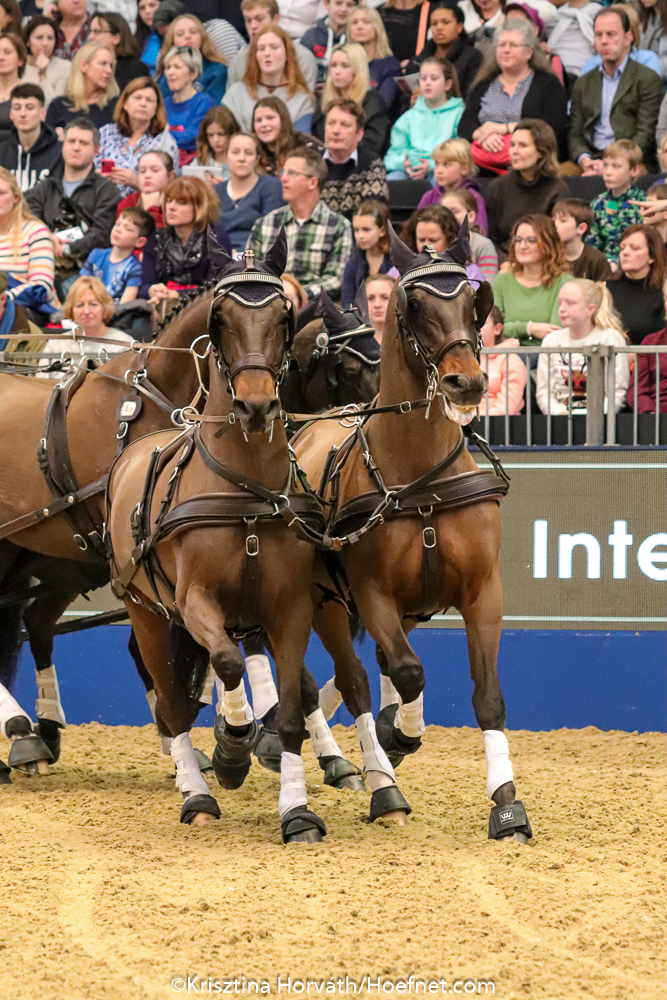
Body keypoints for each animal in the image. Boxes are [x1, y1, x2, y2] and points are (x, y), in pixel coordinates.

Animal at [105, 235, 340, 841]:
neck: (245, 488)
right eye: (221, 317)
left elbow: (290, 713)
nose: (256, 405)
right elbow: (229, 666)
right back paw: (197, 793)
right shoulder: (194, 603)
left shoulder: (289, 610)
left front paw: (297, 811)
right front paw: (232, 749)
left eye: (282, 316)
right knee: (170, 706)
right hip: (145, 612)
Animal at [292, 221, 533, 843]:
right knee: (353, 678)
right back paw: (380, 781)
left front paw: (507, 807)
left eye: (472, 302)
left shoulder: (483, 593)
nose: (466, 381)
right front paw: (398, 736)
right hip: (324, 601)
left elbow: (488, 697)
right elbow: (407, 671)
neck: (420, 478)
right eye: (413, 305)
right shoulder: (373, 595)